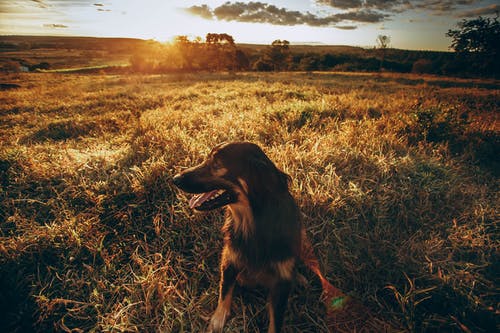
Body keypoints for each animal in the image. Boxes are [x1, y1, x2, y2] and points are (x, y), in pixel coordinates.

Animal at [174, 142, 346, 332]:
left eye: (217, 164)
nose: (175, 179)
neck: (255, 224)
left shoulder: (281, 285)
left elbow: (275, 321)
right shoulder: (230, 259)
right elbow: (225, 290)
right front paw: (218, 320)